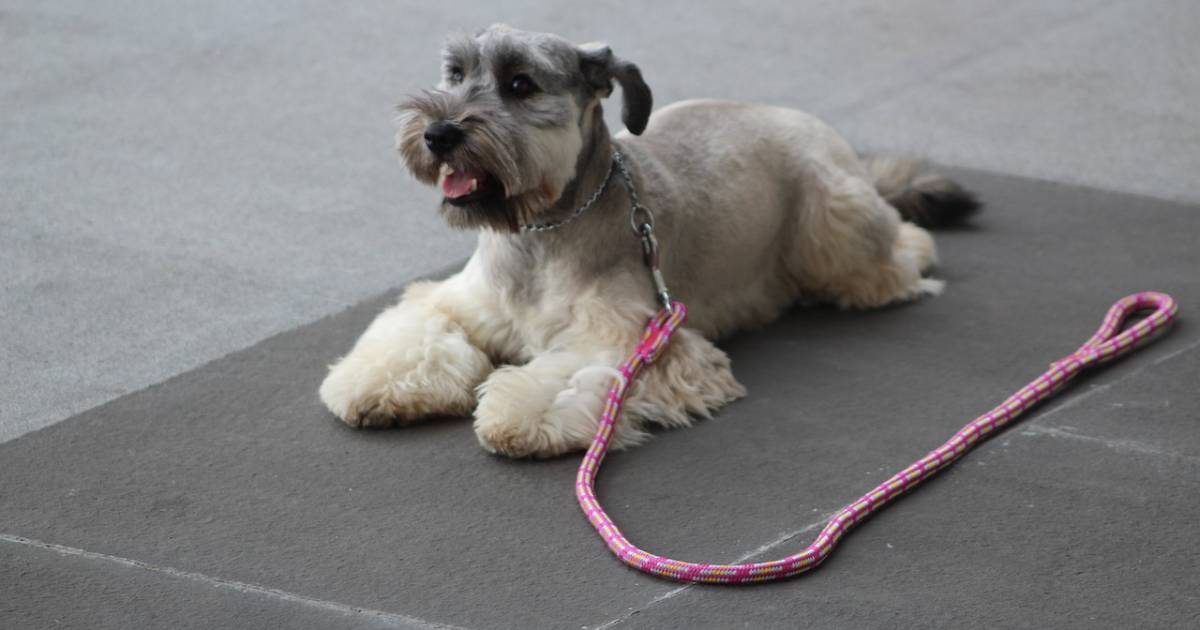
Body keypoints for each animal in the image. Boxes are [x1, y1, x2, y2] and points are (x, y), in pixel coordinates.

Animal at [316, 24, 974, 456]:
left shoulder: (634, 342)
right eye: (455, 74)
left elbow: (561, 378)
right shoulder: (453, 302)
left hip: (835, 226)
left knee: (901, 247)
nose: (438, 133)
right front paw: (379, 383)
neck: (541, 235)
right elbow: (415, 332)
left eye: (521, 84)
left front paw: (514, 415)